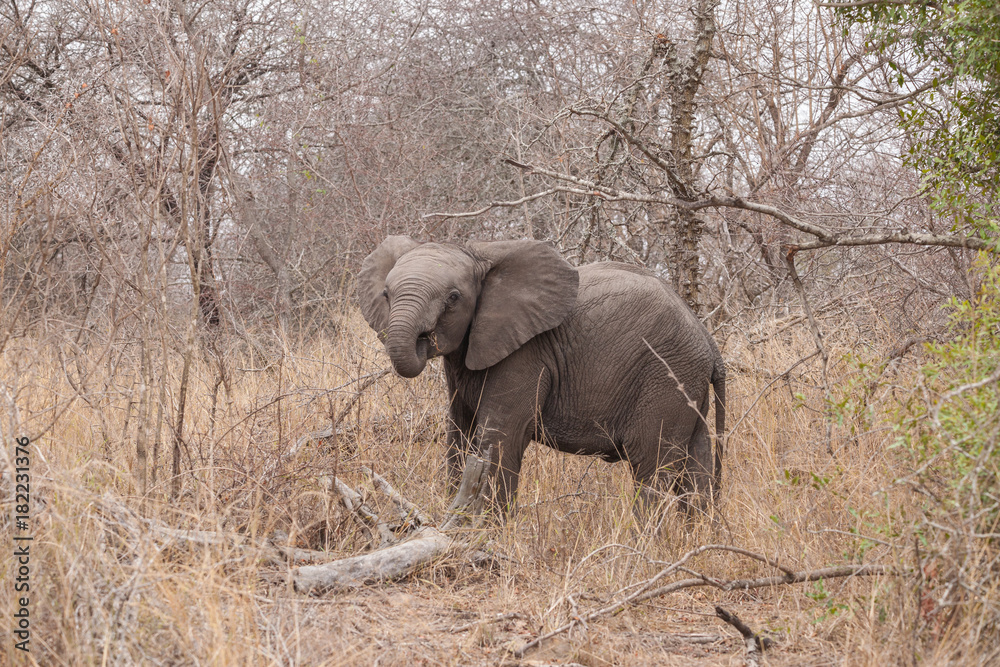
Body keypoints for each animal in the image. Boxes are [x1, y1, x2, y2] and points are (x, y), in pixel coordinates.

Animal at [358, 236, 726, 515]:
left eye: (453, 298)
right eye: (386, 295)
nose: (424, 338)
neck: (480, 254)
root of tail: (709, 341)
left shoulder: (526, 355)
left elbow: (499, 438)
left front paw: (486, 532)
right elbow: (458, 431)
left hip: (666, 378)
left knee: (651, 466)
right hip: (687, 386)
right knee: (696, 468)